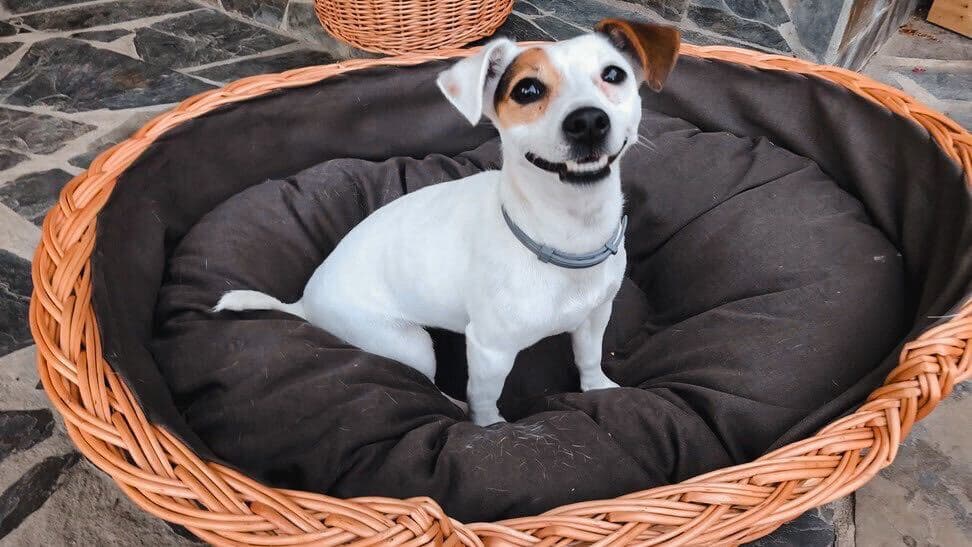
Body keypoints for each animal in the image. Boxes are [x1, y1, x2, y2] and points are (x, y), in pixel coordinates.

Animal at [215, 19, 680, 426]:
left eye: (613, 74)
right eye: (527, 89)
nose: (587, 121)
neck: (567, 236)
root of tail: (304, 304)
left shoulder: (595, 316)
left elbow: (589, 356)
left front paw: (599, 387)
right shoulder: (490, 350)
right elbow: (485, 396)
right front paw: (489, 427)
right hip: (409, 343)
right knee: (424, 380)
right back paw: (452, 402)